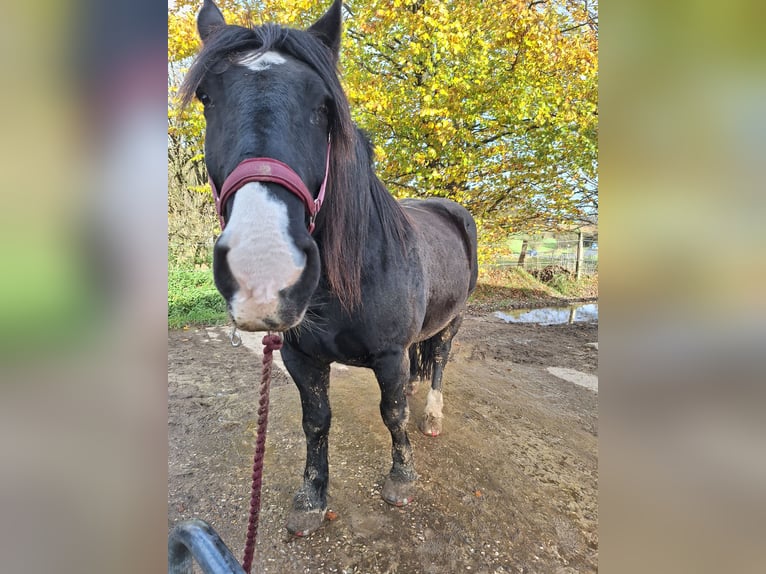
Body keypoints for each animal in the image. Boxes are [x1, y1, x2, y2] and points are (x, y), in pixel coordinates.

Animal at [181, 0, 478, 536]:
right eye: (207, 97)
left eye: (323, 105)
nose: (263, 270)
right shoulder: (301, 357)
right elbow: (316, 421)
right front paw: (311, 498)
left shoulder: (389, 355)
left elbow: (393, 413)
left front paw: (401, 478)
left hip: (454, 321)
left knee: (440, 362)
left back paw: (432, 416)